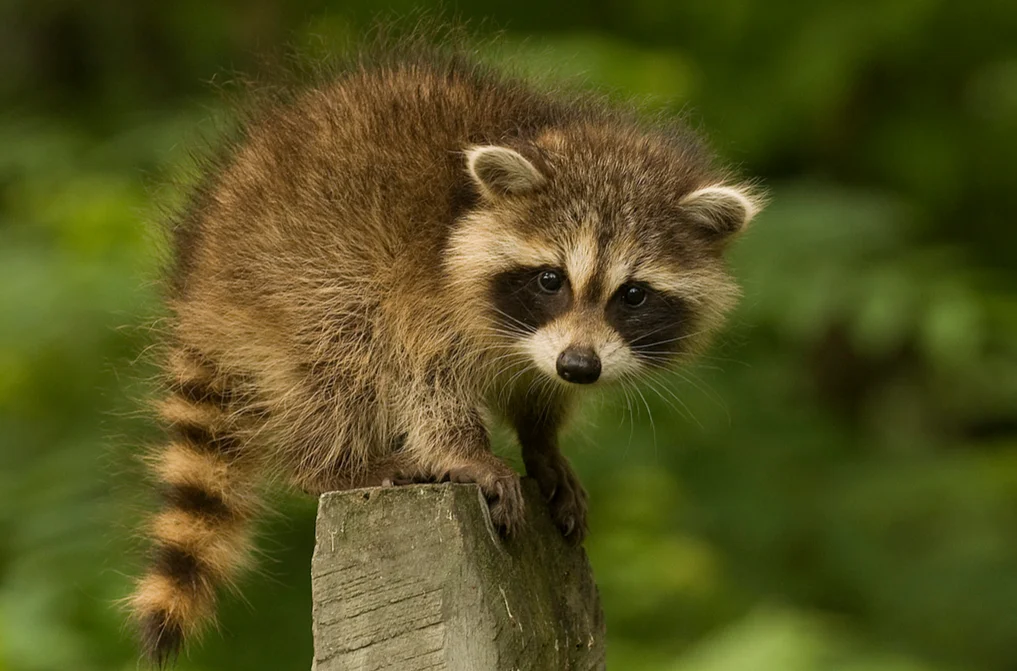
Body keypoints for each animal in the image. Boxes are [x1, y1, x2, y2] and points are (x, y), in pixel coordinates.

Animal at [128, 42, 762, 665]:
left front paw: (542, 443)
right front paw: (465, 451)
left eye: (632, 295)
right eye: (551, 279)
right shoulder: (419, 287)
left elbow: (538, 391)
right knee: (343, 359)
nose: (579, 367)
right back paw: (334, 465)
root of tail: (199, 284)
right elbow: (419, 375)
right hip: (292, 276)